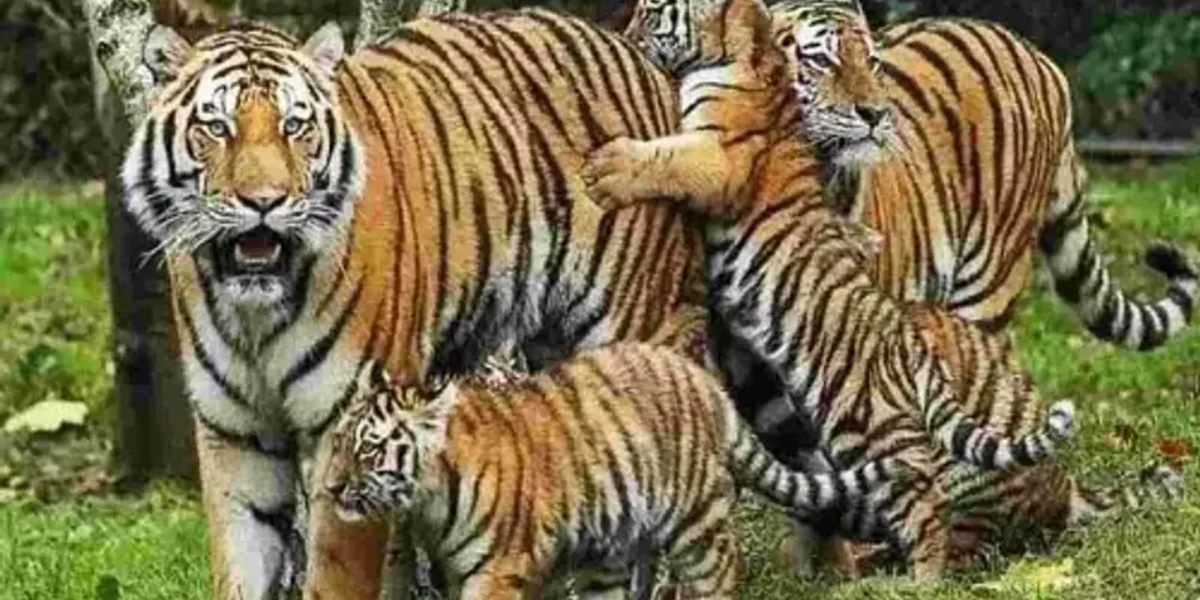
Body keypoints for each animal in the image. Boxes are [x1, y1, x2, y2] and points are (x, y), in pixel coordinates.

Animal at [121, 12, 711, 599]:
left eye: (295, 126)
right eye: (217, 127)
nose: (264, 202)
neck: (254, 313)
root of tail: (637, 54)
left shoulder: (346, 422)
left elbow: (336, 574)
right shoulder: (235, 433)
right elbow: (240, 566)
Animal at [324, 347, 907, 599]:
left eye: (368, 447)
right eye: (337, 443)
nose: (330, 488)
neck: (427, 501)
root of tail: (702, 380)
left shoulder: (498, 569)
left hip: (695, 522)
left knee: (719, 571)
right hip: (609, 546)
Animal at [582, 0, 1080, 579]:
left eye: (872, 61)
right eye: (819, 59)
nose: (876, 114)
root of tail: (1039, 58)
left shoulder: (722, 160)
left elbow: (673, 158)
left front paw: (609, 165)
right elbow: (805, 473)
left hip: (977, 301)